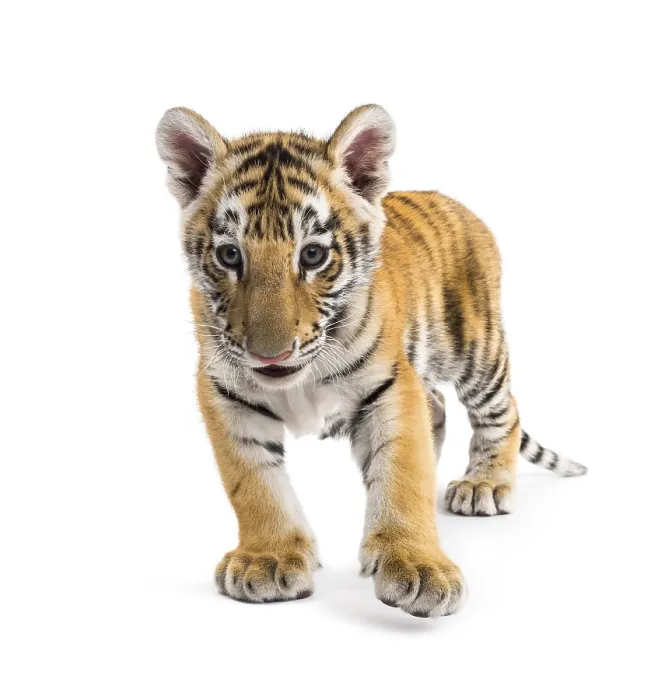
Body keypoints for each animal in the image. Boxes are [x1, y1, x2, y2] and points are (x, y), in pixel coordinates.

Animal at [155, 104, 587, 618]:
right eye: (229, 255)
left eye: (313, 255)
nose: (270, 354)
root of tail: (458, 206)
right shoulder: (224, 392)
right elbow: (254, 482)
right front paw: (268, 557)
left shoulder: (389, 385)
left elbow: (401, 472)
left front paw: (419, 565)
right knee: (438, 408)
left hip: (475, 350)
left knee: (505, 412)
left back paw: (483, 485)